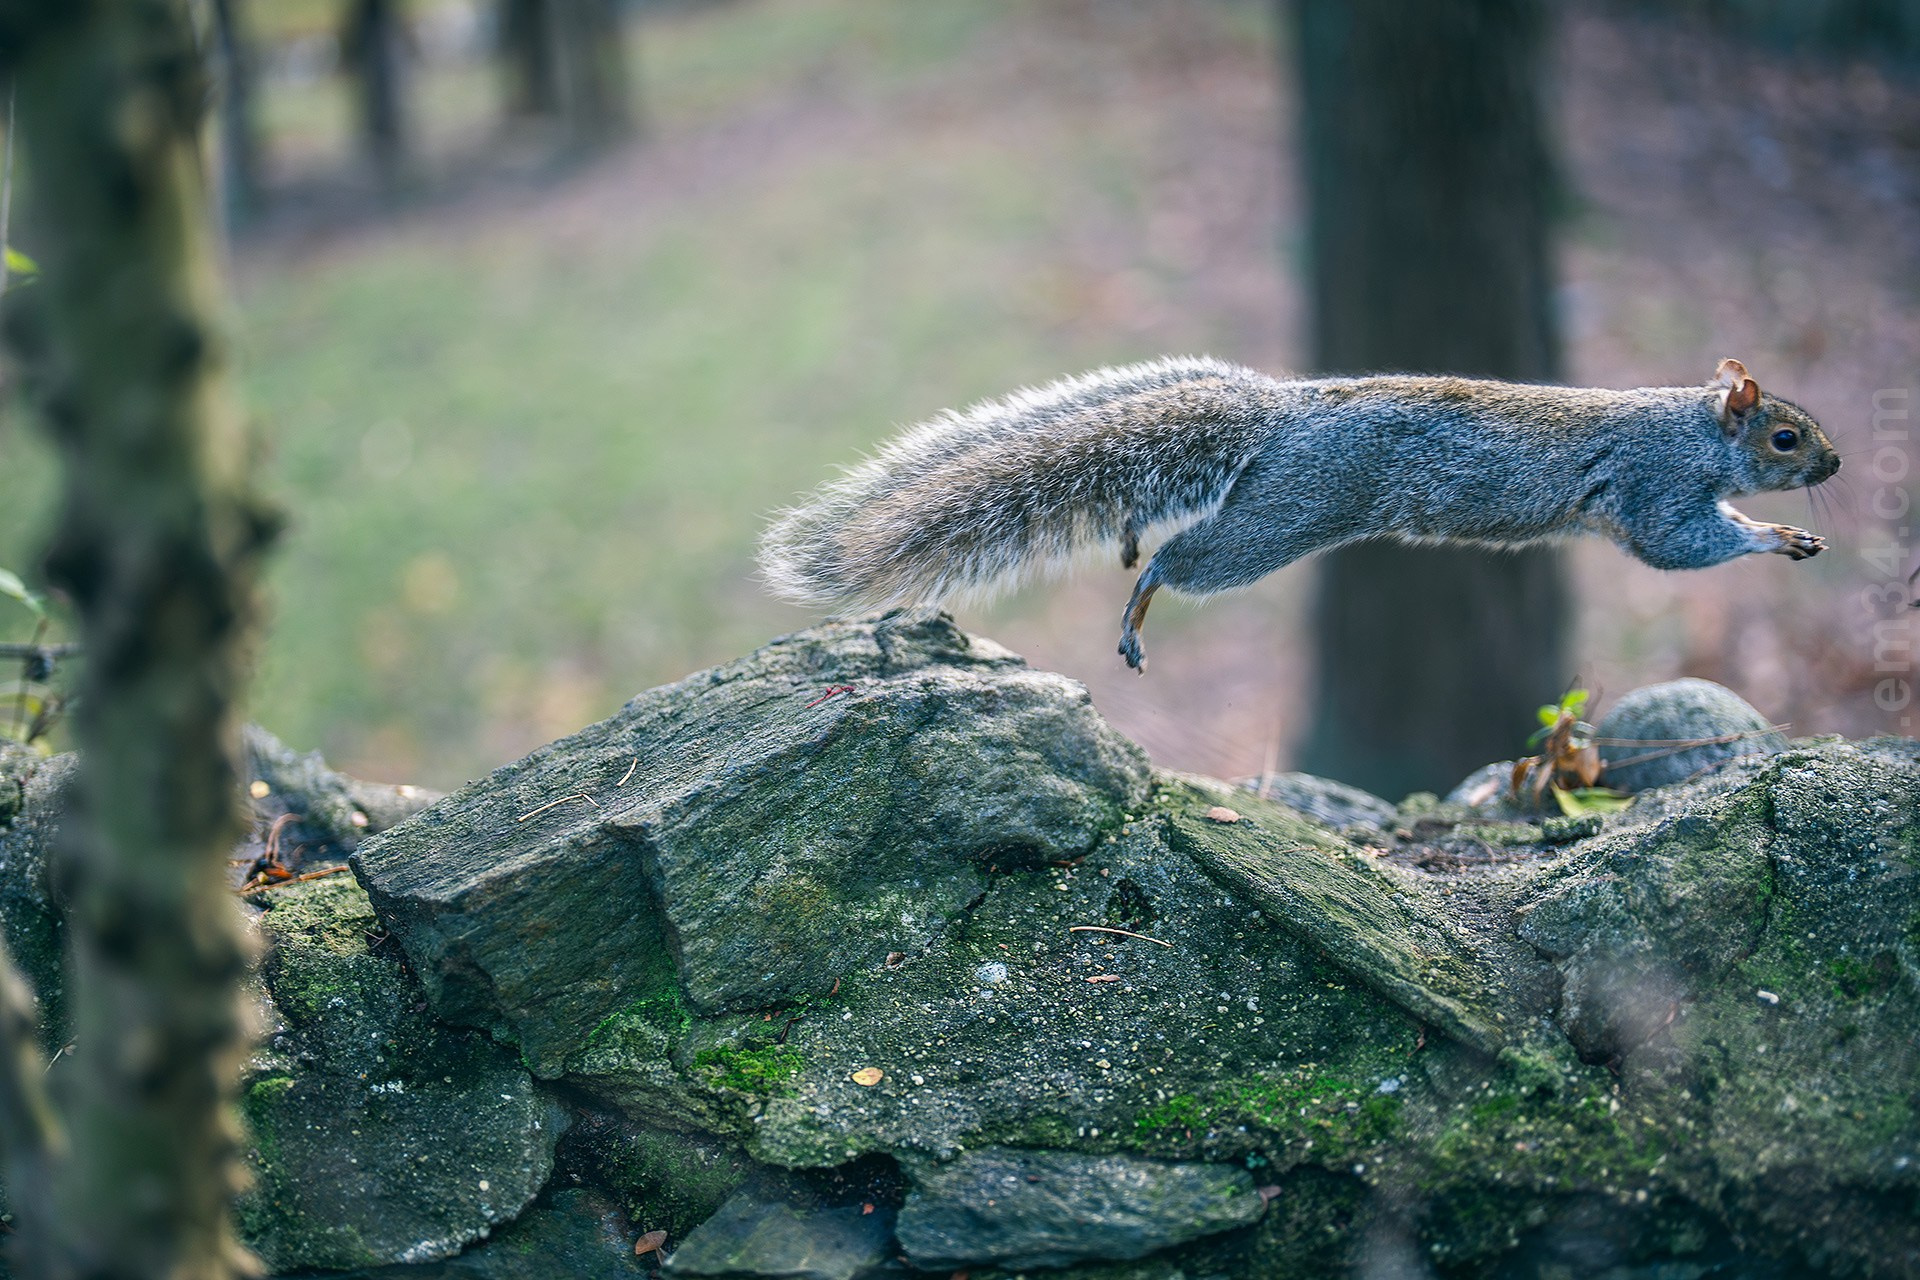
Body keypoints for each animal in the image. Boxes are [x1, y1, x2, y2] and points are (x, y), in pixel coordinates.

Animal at [759, 356, 1840, 672]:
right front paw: (1780, 535)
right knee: (1183, 558)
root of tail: (1287, 412)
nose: (1834, 461)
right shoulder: (1656, 493)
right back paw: (1137, 604)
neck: (1695, 430)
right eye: (1785, 438)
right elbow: (1683, 545)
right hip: (1282, 518)